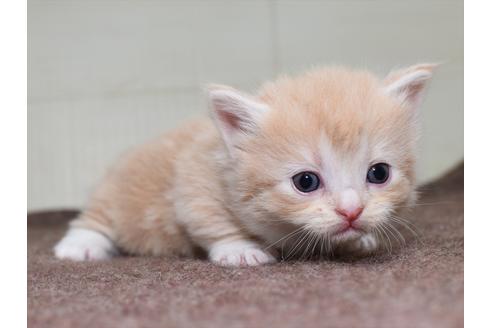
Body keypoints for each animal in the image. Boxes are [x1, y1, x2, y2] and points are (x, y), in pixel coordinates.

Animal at [53, 64, 434, 266]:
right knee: (95, 218)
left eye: (379, 173)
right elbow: (210, 221)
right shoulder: (193, 182)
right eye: (306, 182)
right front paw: (242, 250)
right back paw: (80, 246)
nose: (352, 211)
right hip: (118, 193)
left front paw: (358, 240)